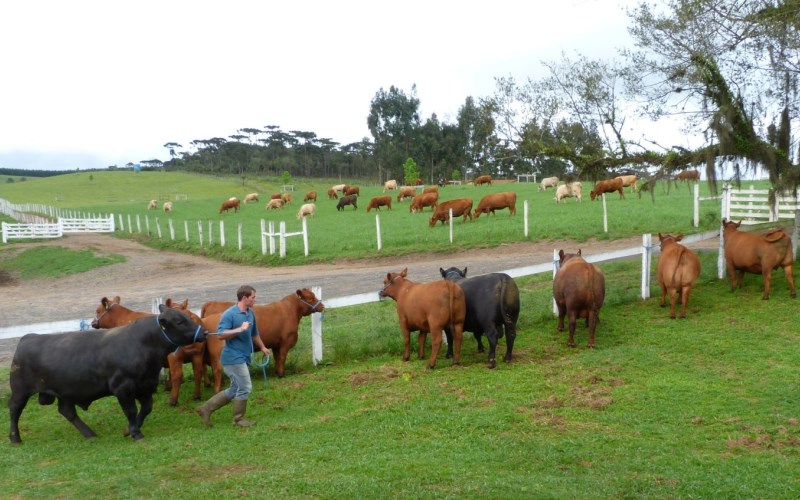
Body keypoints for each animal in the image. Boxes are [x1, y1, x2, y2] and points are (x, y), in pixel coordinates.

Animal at [8, 304, 206, 446]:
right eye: (179, 322)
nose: (204, 332)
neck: (143, 344)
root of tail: (28, 337)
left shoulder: (146, 385)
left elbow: (146, 408)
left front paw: (129, 429)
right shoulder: (123, 387)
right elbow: (131, 410)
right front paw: (136, 432)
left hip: (65, 391)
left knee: (67, 411)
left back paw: (90, 434)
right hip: (20, 391)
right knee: (14, 410)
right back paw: (15, 438)